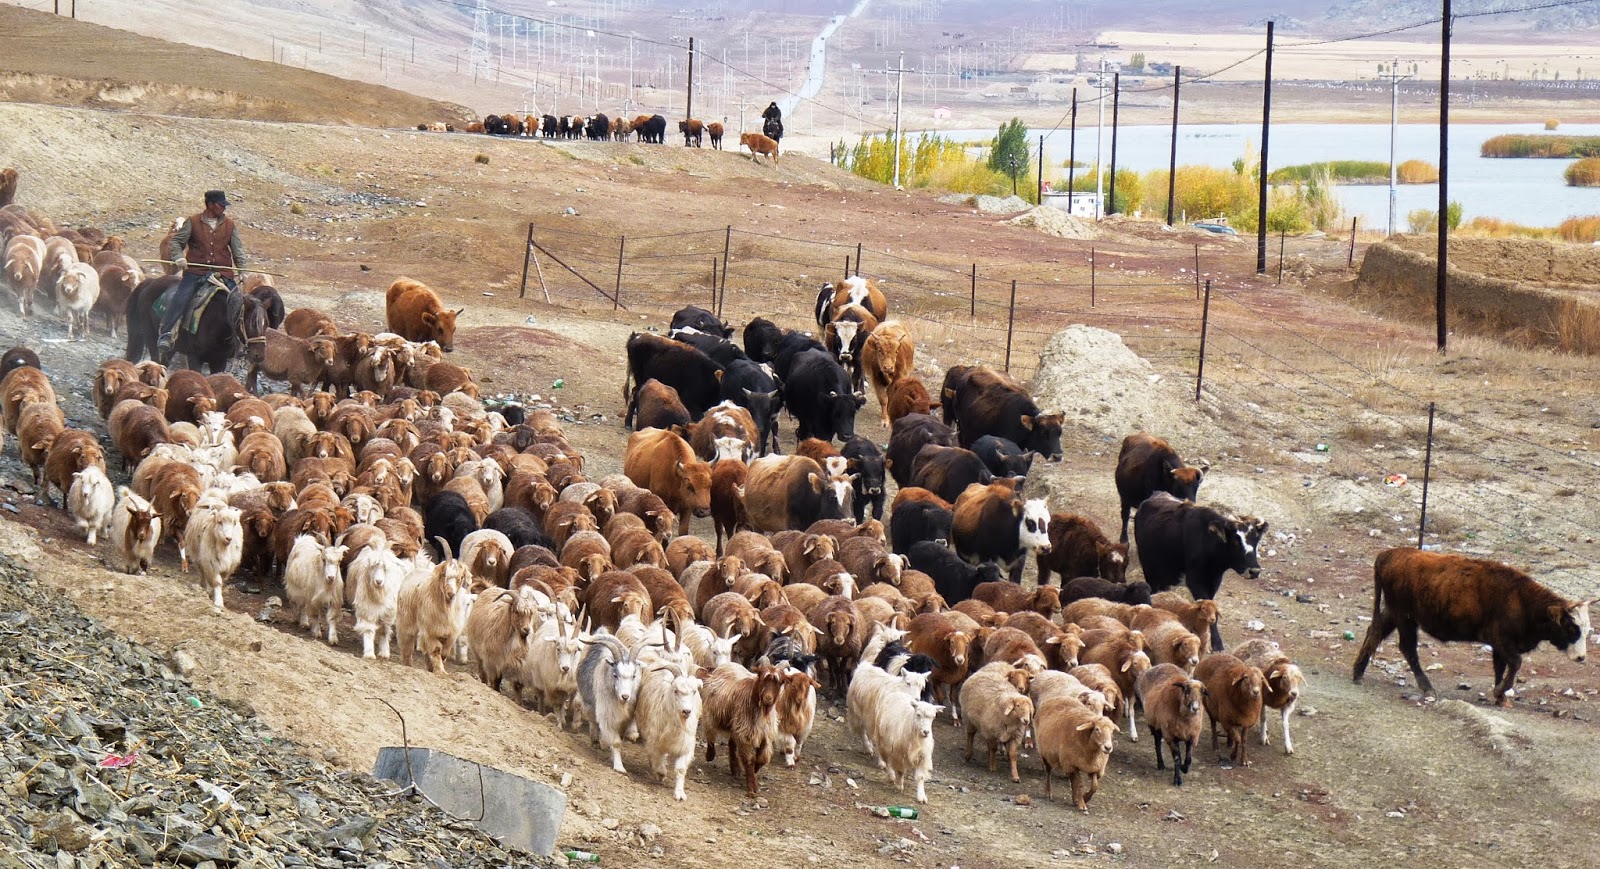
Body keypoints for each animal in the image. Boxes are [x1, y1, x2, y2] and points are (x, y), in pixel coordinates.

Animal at [397, 538, 471, 673]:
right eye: (444, 574)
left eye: (460, 577)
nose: (451, 593)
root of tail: (416, 570)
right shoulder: (430, 631)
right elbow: (436, 650)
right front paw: (440, 671)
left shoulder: (451, 634)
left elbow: (444, 652)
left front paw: (434, 668)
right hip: (406, 624)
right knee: (407, 648)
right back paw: (408, 665)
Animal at [576, 632, 644, 773]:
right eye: (615, 675)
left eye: (634, 676)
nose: (625, 696)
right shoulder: (607, 715)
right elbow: (616, 742)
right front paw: (619, 767)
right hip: (588, 702)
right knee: (593, 720)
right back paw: (595, 741)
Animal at [700, 662, 785, 794]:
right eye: (762, 679)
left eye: (779, 682)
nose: (768, 698)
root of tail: (725, 664)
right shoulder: (746, 734)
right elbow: (749, 759)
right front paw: (752, 786)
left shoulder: (764, 734)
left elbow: (762, 758)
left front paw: (755, 769)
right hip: (712, 714)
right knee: (710, 734)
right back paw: (710, 755)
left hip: (735, 724)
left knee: (731, 744)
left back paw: (736, 769)